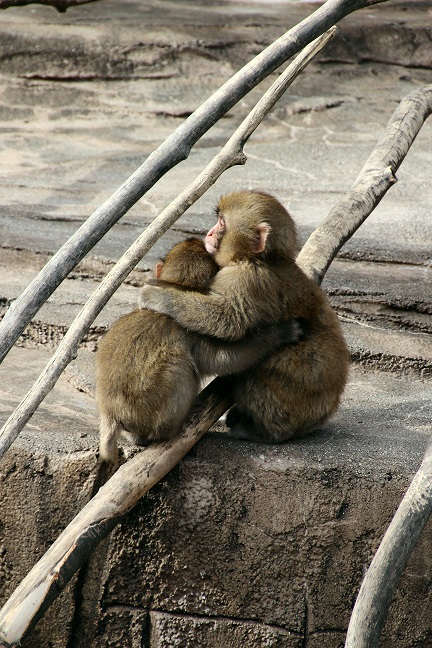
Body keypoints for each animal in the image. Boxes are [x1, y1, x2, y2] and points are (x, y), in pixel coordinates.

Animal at [140, 187, 350, 442]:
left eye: (222, 223)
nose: (210, 233)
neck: (256, 258)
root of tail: (328, 410)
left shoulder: (246, 279)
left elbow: (226, 319)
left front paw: (154, 295)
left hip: (298, 404)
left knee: (258, 371)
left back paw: (261, 431)